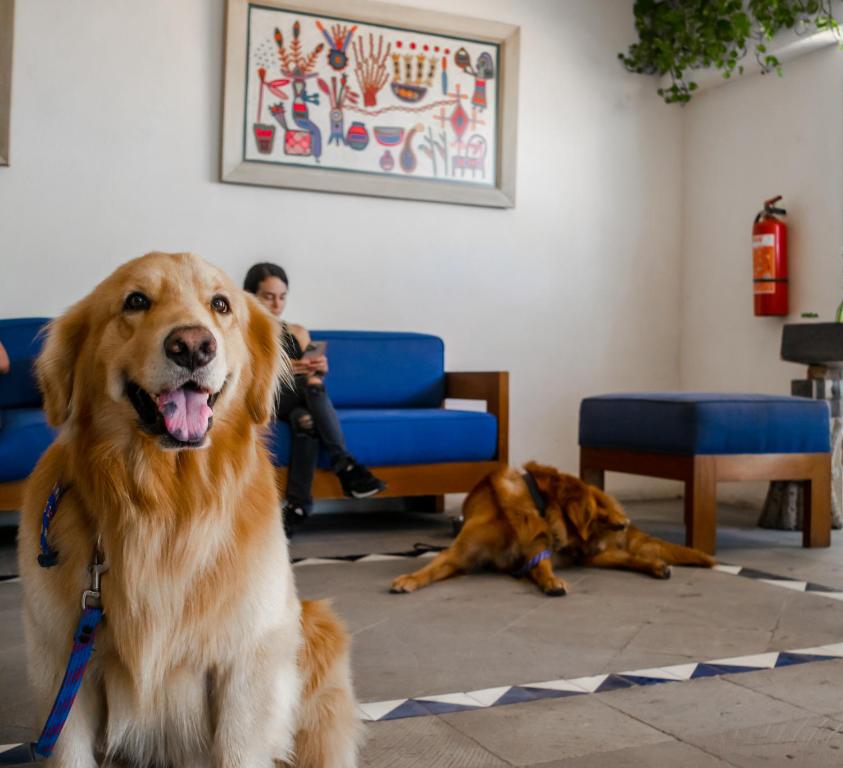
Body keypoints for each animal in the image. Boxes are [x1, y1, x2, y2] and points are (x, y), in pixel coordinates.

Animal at [16, 254, 360, 768]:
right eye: (136, 301)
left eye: (220, 304)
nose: (193, 346)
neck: (165, 504)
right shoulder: (63, 665)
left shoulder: (247, 665)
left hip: (316, 633)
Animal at [392, 460, 716, 596]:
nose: (621, 524)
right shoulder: (459, 555)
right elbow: (430, 568)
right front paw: (410, 578)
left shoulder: (537, 552)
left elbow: (542, 568)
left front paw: (552, 582)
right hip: (592, 554)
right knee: (629, 558)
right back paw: (653, 563)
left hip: (594, 521)